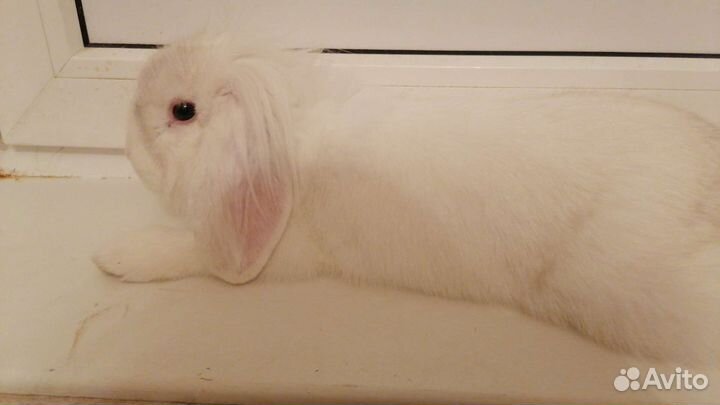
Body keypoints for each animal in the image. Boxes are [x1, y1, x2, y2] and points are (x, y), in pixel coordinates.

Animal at [94, 33, 720, 365]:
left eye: (182, 111)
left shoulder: (280, 253)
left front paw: (117, 257)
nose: (127, 149)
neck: (289, 137)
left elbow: (191, 251)